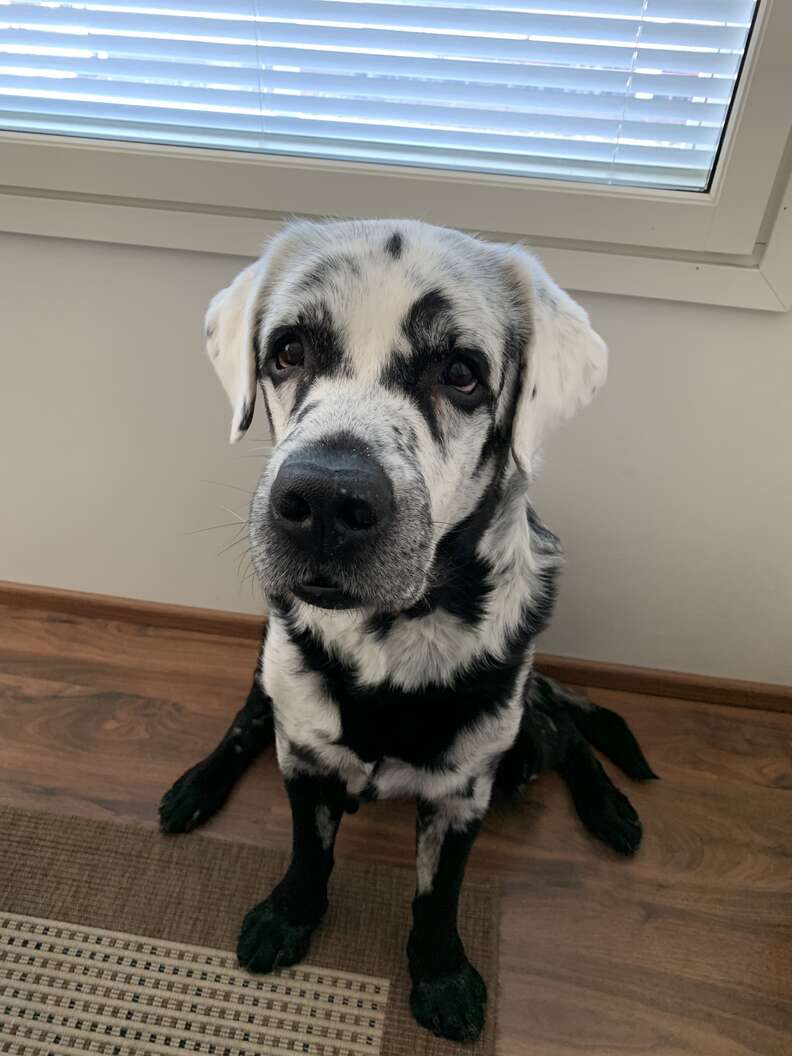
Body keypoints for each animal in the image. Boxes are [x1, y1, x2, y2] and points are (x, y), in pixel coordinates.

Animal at [161, 220, 658, 1039]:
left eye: (461, 372)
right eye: (287, 350)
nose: (325, 500)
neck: (392, 640)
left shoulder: (464, 792)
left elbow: (437, 894)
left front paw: (441, 973)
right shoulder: (303, 750)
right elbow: (309, 852)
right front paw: (288, 915)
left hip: (524, 735)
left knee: (567, 734)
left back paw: (610, 808)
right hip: (269, 669)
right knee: (244, 720)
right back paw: (195, 785)